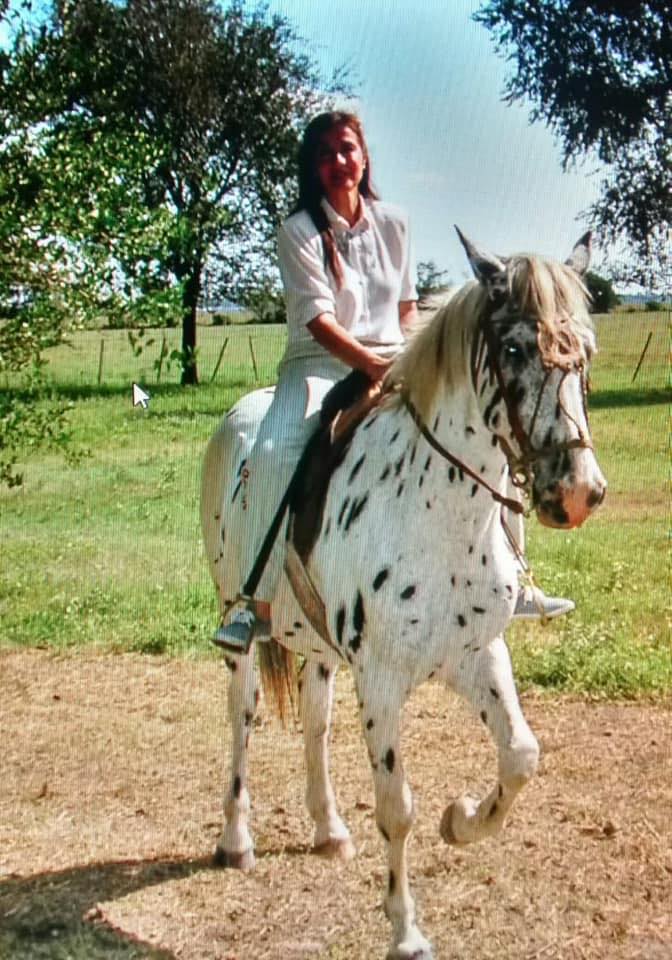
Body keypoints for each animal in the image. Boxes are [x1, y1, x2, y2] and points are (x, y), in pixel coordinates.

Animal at [200, 230, 606, 960]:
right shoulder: (382, 678)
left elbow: (521, 756)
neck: (437, 509)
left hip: (320, 648)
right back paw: (235, 840)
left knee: (314, 720)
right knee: (241, 717)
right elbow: (396, 810)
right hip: (238, 624)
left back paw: (328, 829)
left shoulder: (478, 654)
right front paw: (407, 932)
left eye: (584, 352)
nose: (578, 493)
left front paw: (462, 820)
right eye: (513, 350)